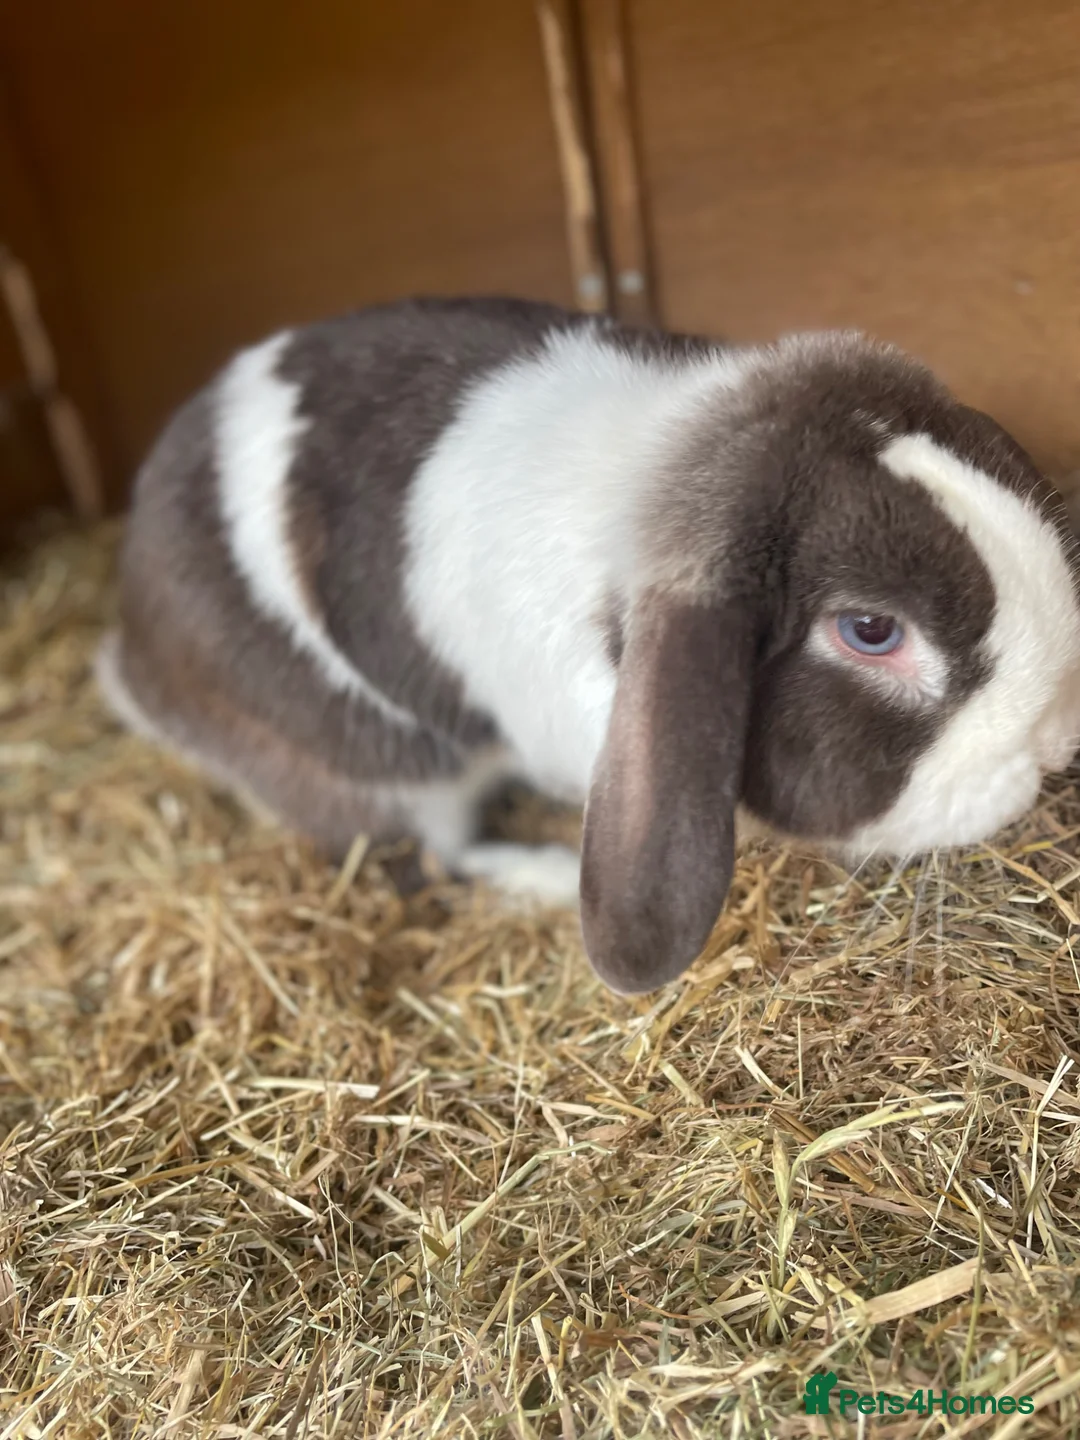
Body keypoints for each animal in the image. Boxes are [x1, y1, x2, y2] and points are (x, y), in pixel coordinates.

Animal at [97, 296, 1080, 994]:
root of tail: (135, 662)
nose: (1056, 740)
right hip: (384, 772)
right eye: (871, 631)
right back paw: (534, 874)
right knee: (434, 860)